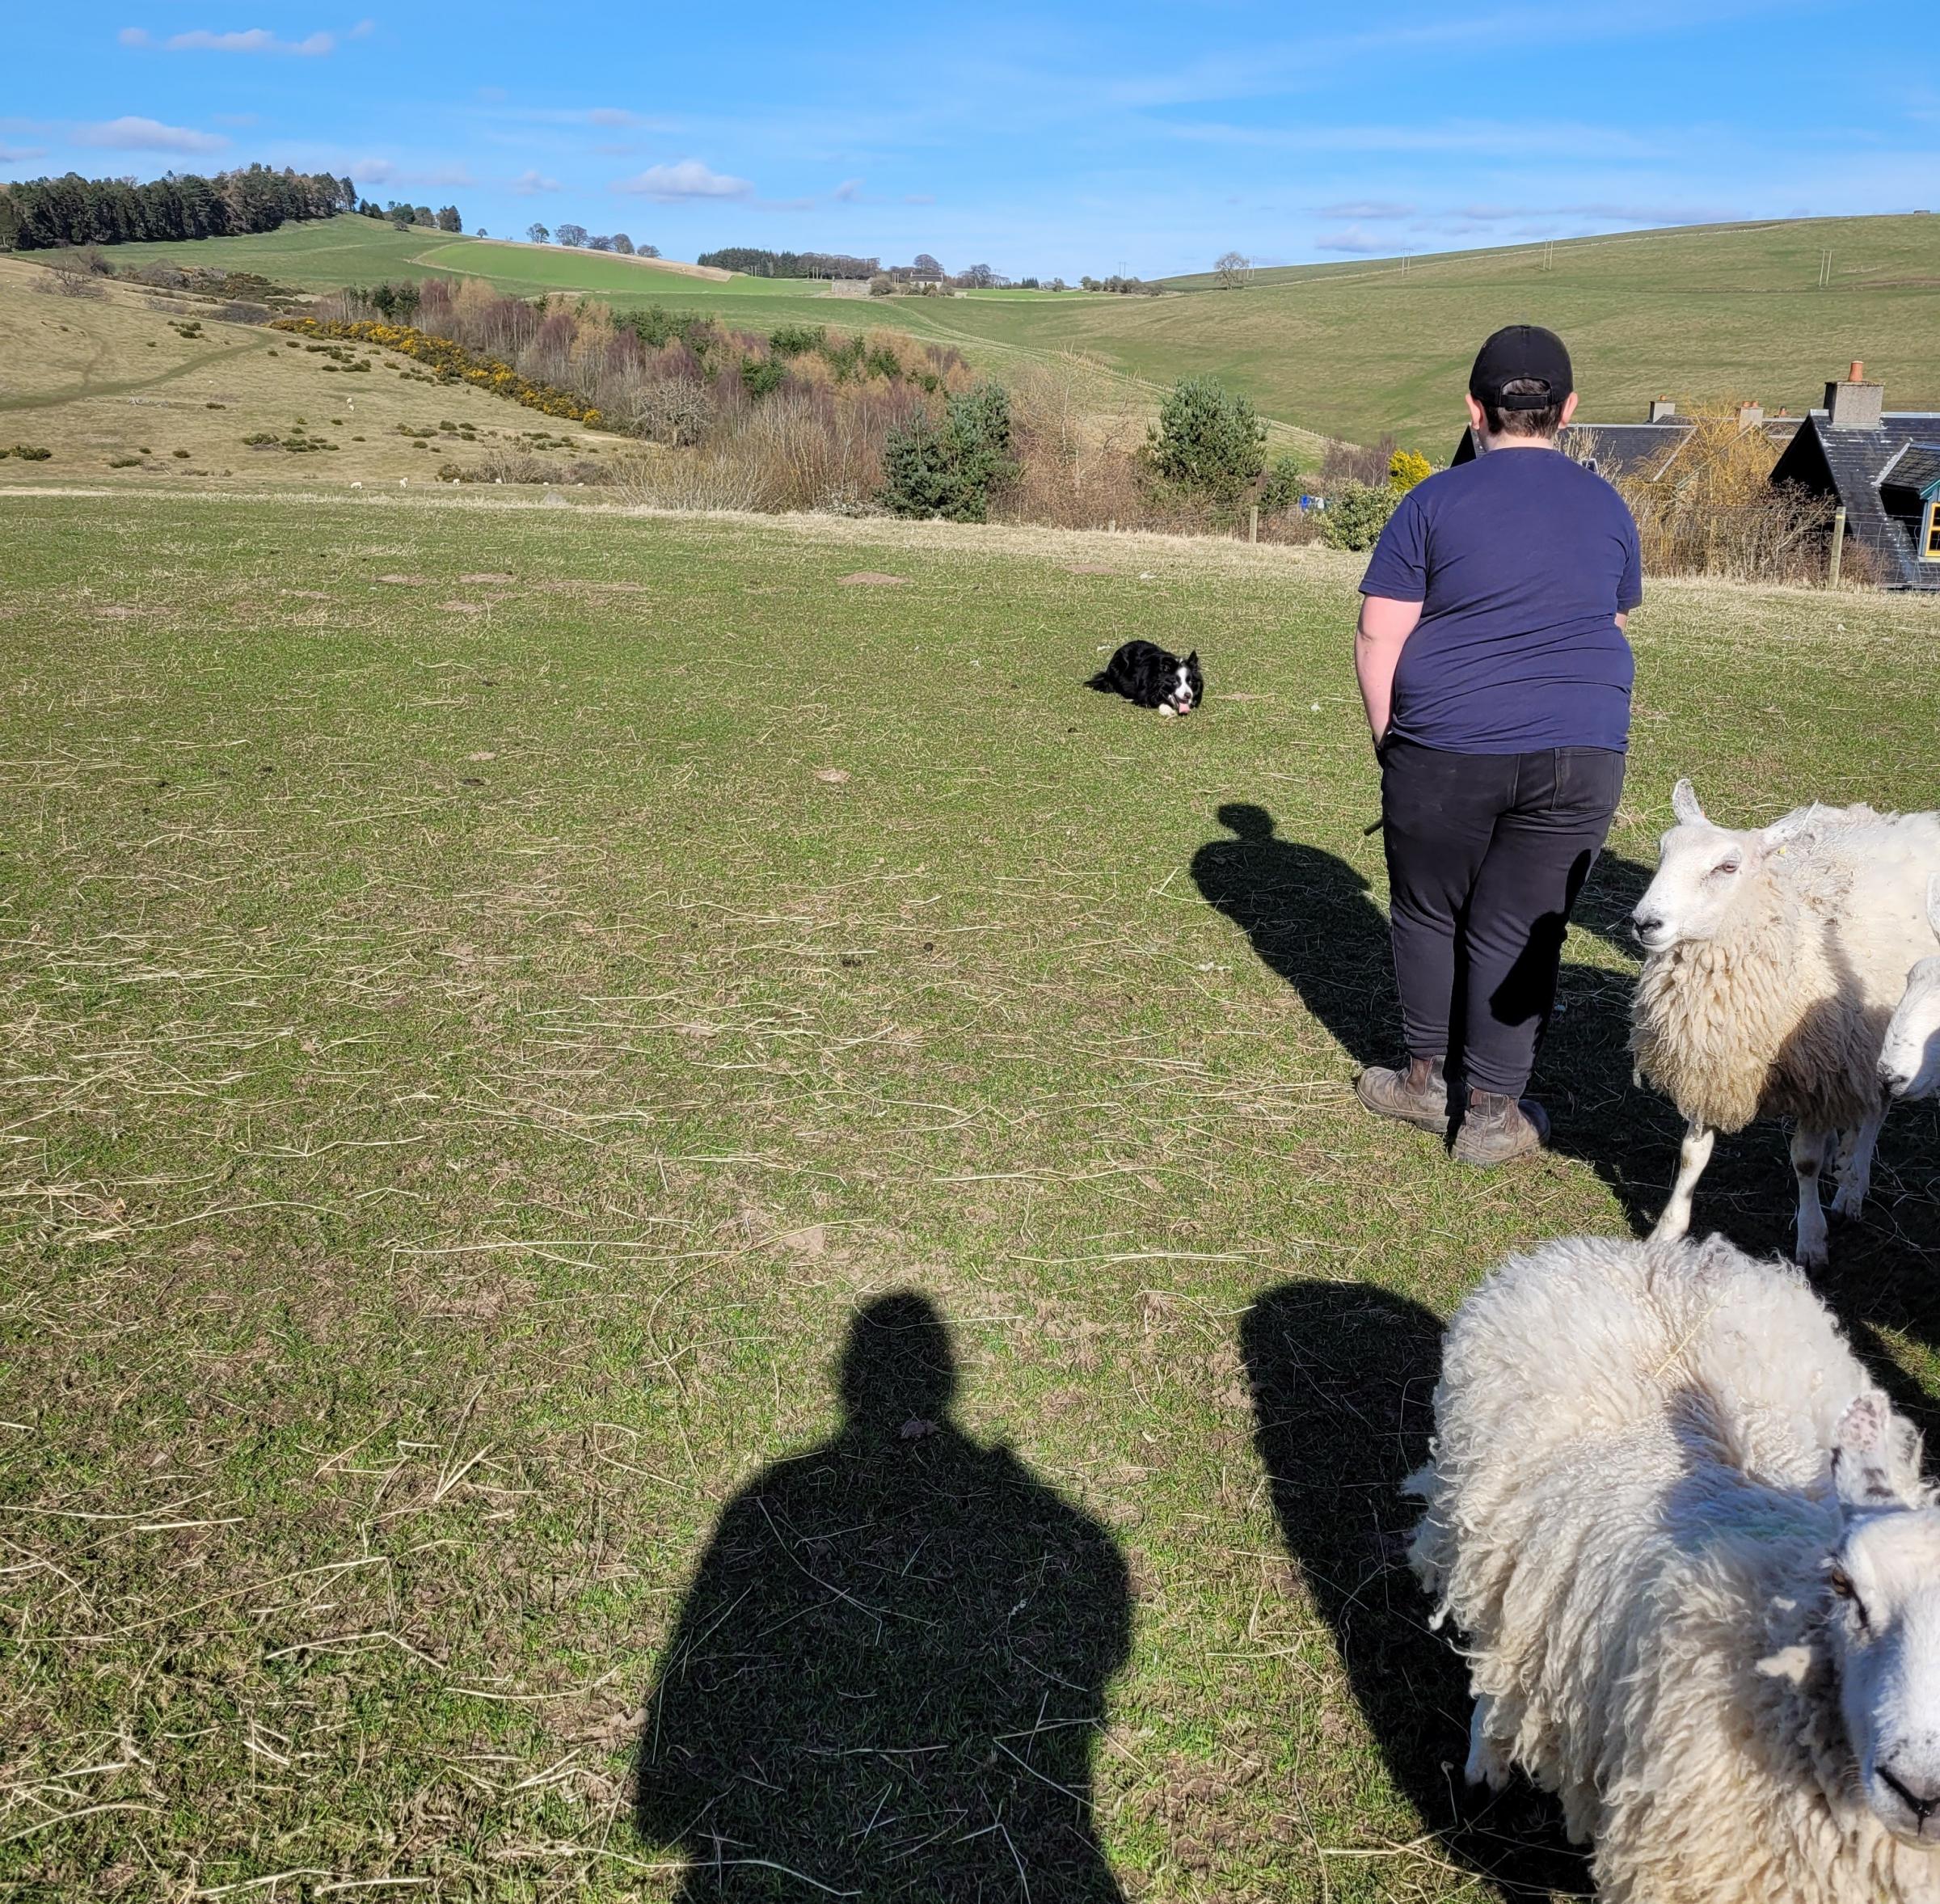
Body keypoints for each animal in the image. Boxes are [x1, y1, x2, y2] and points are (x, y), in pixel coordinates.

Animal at [1412, 1226, 1940, 1893]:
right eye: (1844, 1585)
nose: (1921, 1789)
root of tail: (1654, 1255)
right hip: (1484, 1530)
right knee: (1492, 1652)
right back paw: (1486, 1758)